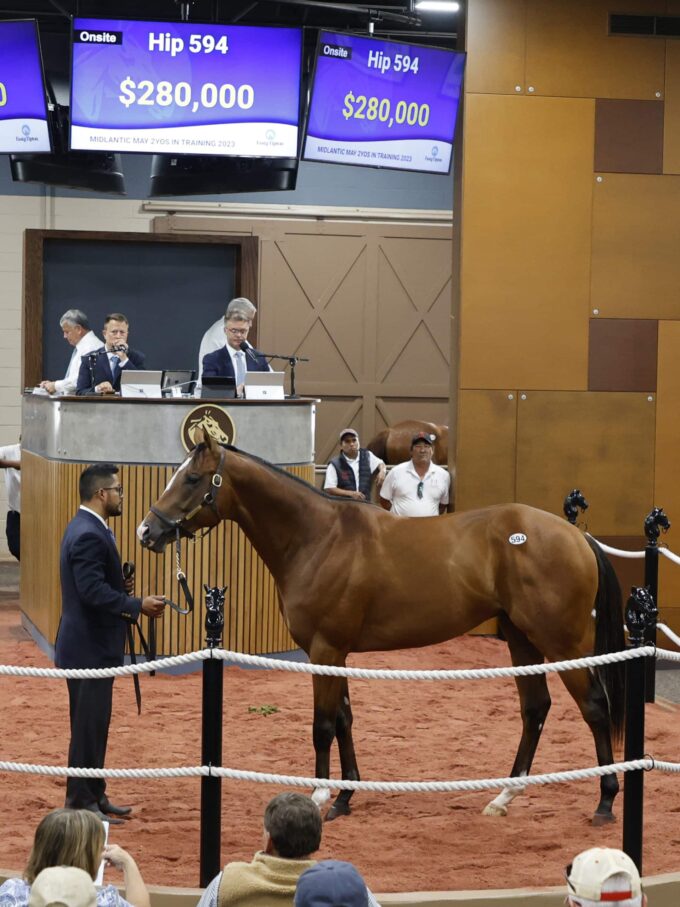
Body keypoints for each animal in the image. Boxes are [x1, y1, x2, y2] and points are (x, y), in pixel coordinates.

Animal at [138, 430, 628, 824]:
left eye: (192, 479)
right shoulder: (335, 653)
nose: (147, 531)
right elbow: (344, 719)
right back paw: (504, 797)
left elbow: (322, 725)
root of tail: (576, 535)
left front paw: (319, 796)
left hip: (563, 643)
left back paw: (605, 802)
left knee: (594, 707)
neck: (318, 537)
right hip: (521, 639)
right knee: (535, 709)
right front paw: (345, 797)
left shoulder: (325, 649)